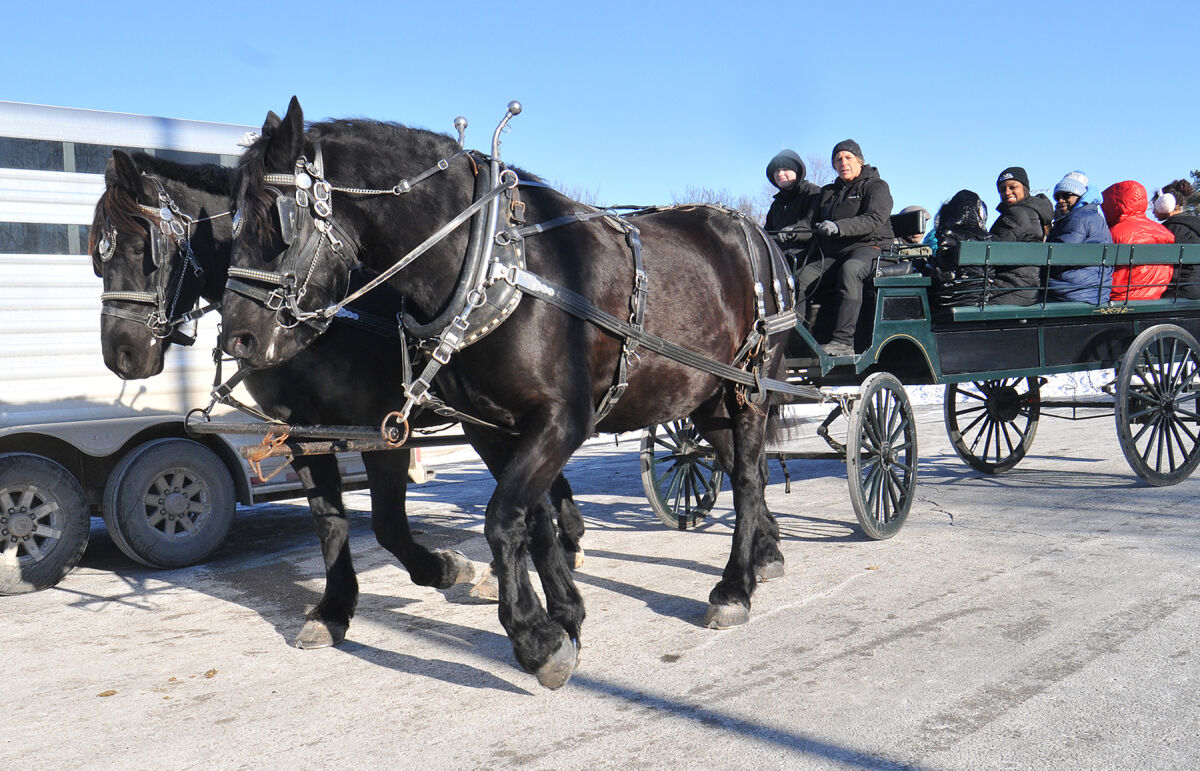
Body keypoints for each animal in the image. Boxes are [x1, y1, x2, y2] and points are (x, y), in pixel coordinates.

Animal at [91, 148, 585, 648]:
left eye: (141, 248)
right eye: (98, 259)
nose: (120, 354)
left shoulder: (381, 429)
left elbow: (388, 525)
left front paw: (447, 568)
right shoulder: (301, 433)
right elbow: (328, 522)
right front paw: (333, 610)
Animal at [220, 97, 793, 689]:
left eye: (276, 220)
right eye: (228, 219)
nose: (237, 338)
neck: (487, 265)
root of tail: (753, 231)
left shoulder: (561, 420)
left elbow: (499, 519)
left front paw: (534, 639)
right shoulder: (489, 426)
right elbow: (531, 520)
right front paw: (564, 616)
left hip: (750, 388)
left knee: (748, 478)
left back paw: (734, 588)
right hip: (706, 397)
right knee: (736, 465)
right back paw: (766, 552)